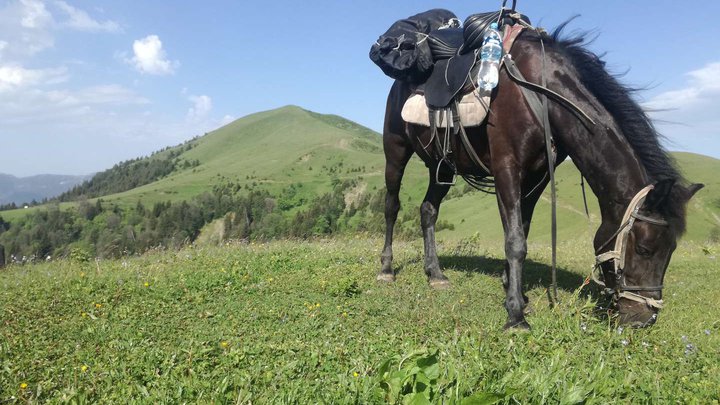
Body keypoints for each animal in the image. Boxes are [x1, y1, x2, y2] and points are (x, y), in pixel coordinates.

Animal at [376, 22, 704, 328]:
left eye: (672, 249)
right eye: (646, 248)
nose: (644, 319)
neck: (541, 93)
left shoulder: (538, 177)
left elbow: (523, 228)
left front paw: (516, 292)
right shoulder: (507, 167)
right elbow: (515, 241)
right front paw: (515, 315)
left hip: (442, 166)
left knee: (428, 210)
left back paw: (435, 273)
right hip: (395, 151)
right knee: (392, 206)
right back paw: (386, 269)